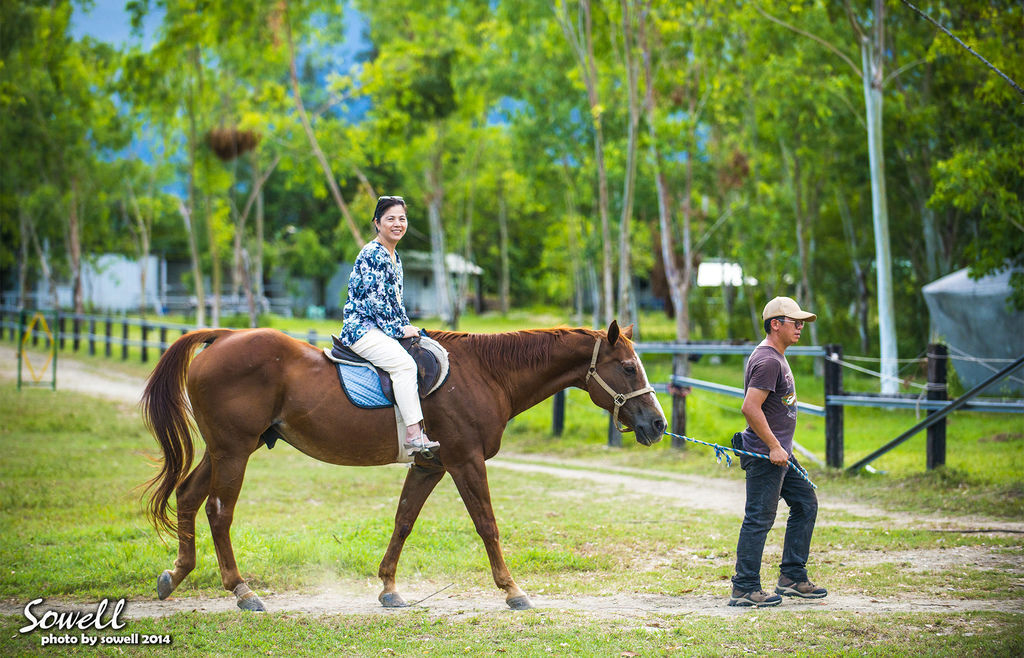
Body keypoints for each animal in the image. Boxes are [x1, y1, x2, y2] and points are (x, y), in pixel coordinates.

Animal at [144, 319, 667, 613]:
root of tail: (223, 337)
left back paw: (177, 574)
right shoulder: (465, 462)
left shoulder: (430, 466)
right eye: (628, 368)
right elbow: (487, 526)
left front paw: (389, 587)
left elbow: (403, 521)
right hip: (233, 452)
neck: (486, 373)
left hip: (226, 450)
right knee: (219, 513)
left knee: (188, 497)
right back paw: (242, 591)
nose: (658, 424)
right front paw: (513, 590)